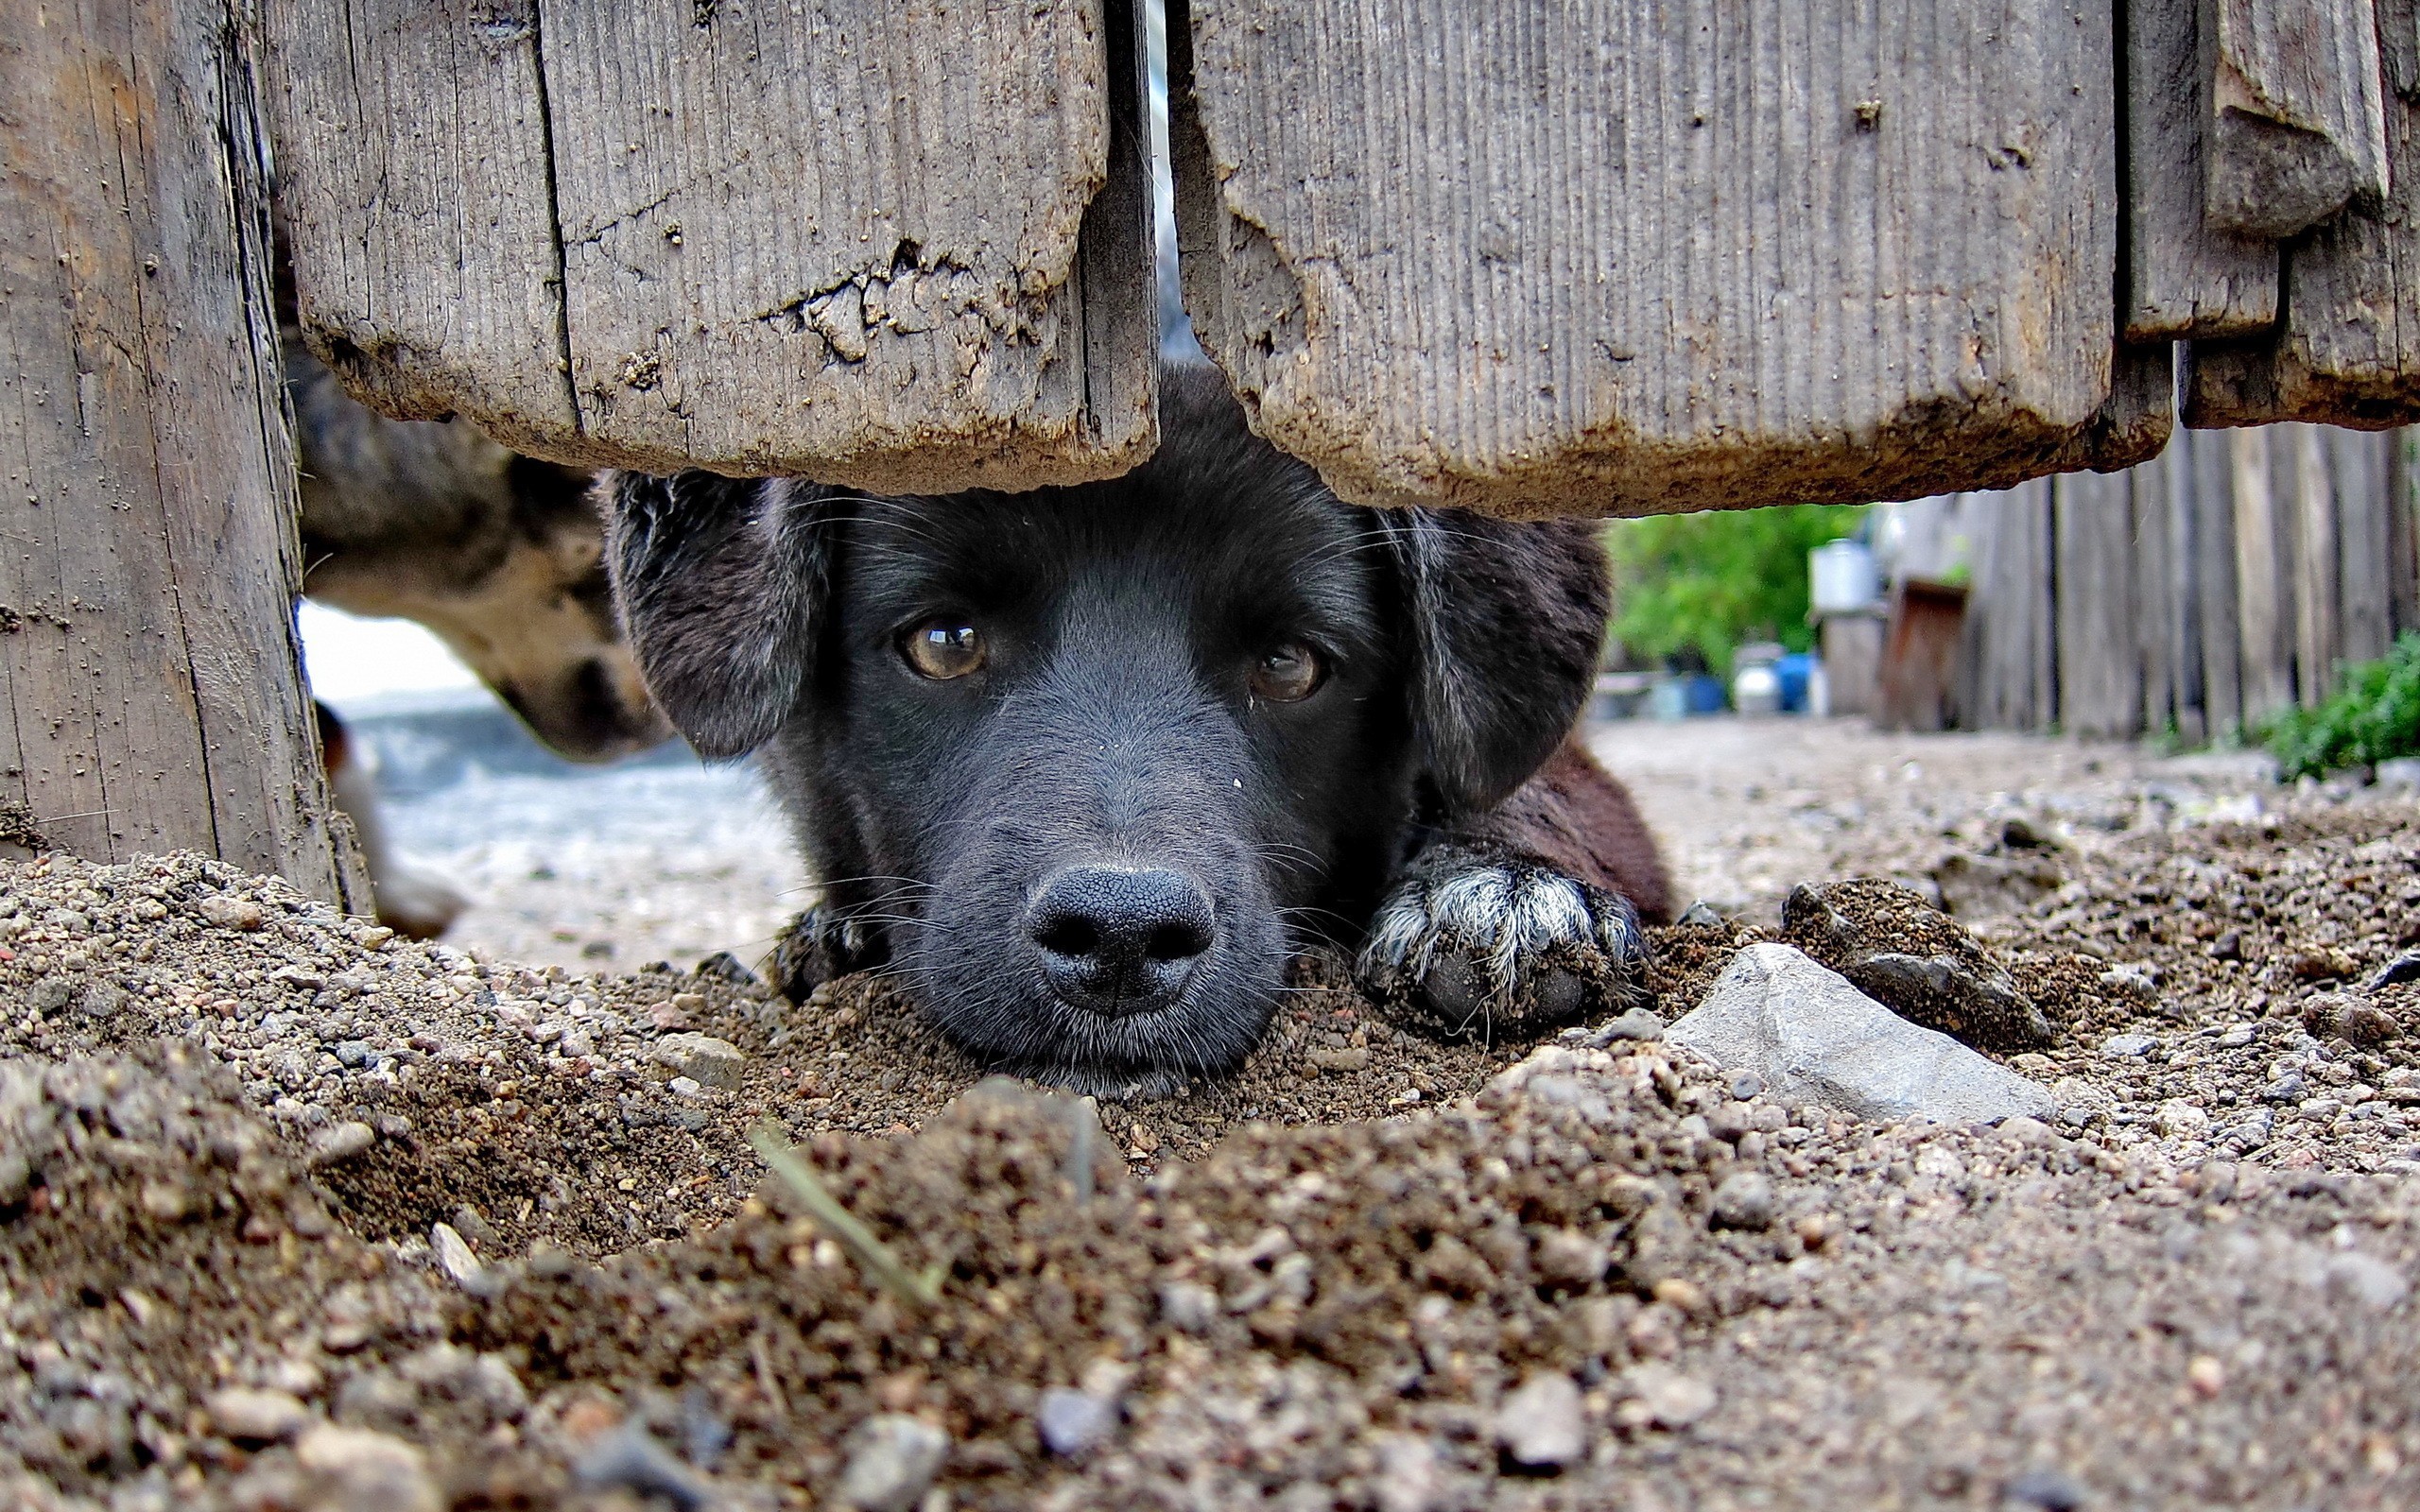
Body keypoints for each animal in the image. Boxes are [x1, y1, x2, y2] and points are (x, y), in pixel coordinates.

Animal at [602, 368, 1665, 1098]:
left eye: (1290, 665)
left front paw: (1499, 890)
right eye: (944, 642)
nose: (1121, 939)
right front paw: (837, 929)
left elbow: (1533, 794)